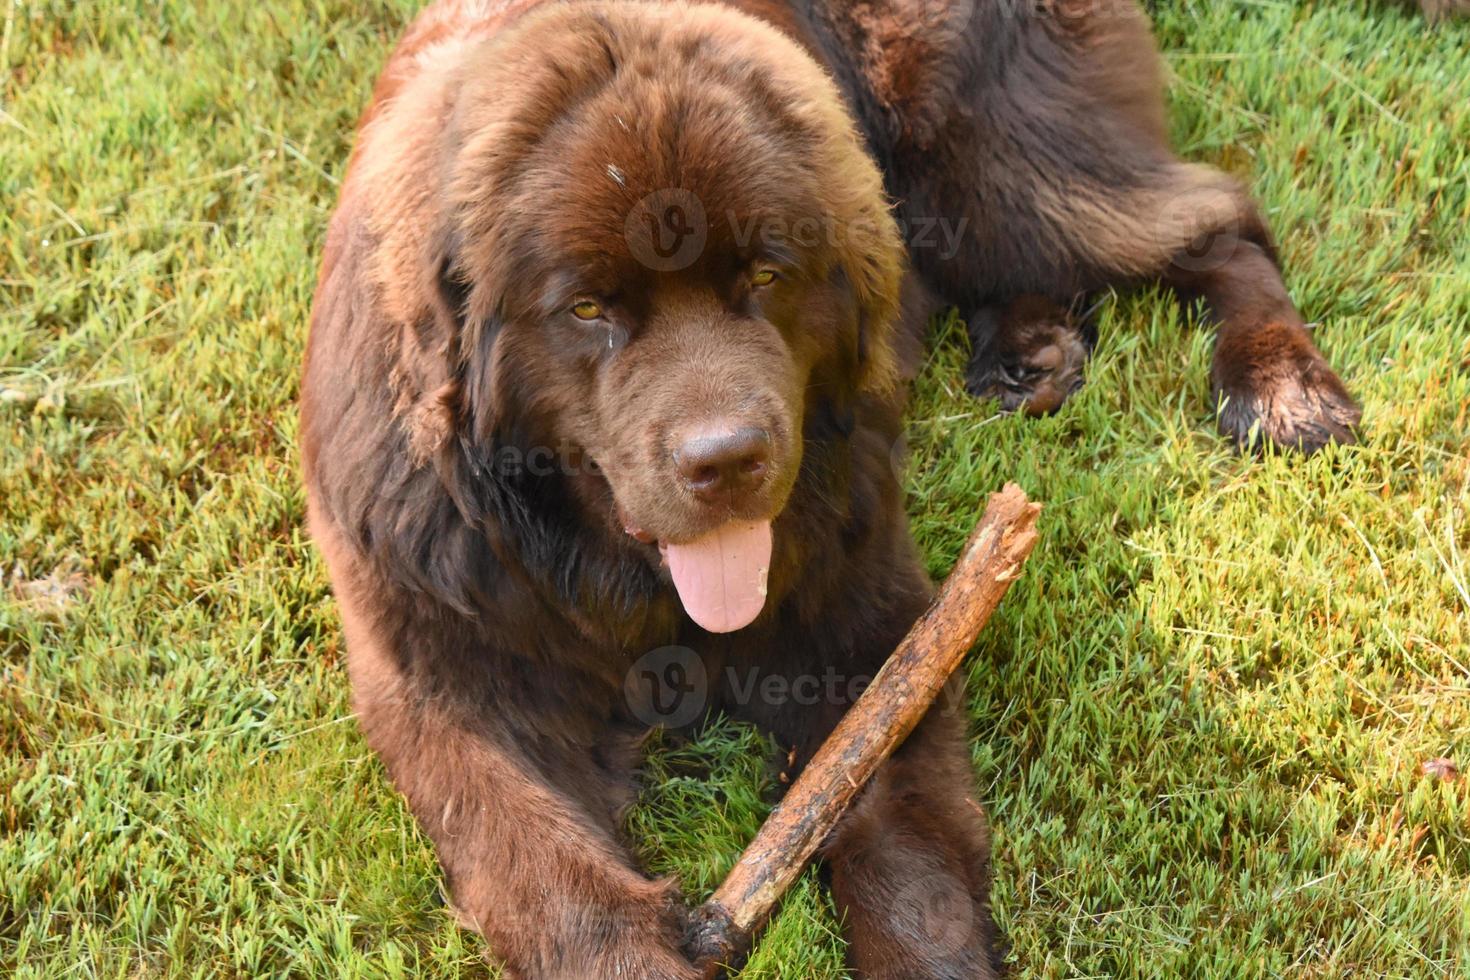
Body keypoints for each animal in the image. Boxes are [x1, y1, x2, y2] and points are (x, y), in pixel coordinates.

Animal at [304, 1, 1358, 980]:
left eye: (768, 276)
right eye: (587, 308)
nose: (726, 459)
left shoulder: (870, 632)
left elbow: (903, 852)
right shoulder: (449, 676)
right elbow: (555, 885)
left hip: (997, 174)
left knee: (1214, 219)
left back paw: (1281, 388)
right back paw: (1033, 350)